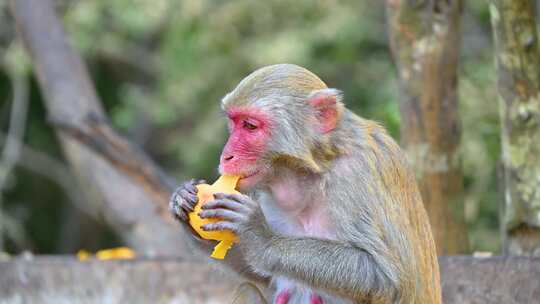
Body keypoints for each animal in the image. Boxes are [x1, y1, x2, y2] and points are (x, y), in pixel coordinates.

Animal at [170, 64, 442, 304]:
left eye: (250, 125)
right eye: (233, 122)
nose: (226, 156)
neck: (313, 169)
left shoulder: (356, 175)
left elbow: (387, 279)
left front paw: (259, 236)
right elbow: (259, 274)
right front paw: (183, 200)